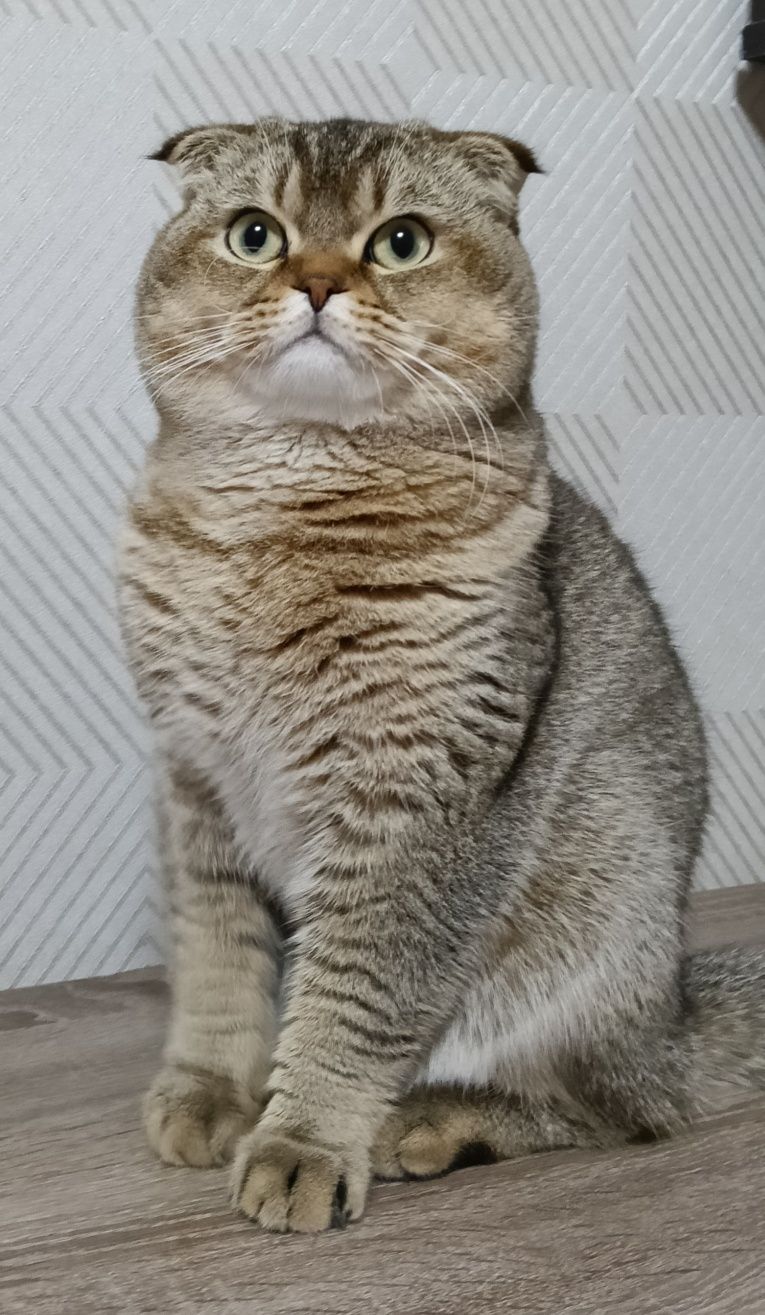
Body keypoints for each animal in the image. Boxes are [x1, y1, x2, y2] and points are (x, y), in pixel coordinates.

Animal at [119, 117, 764, 1234]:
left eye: (401, 242)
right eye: (254, 234)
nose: (319, 283)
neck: (280, 526)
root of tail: (673, 1012)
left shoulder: (419, 792)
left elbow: (353, 996)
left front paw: (301, 1145)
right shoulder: (197, 778)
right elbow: (217, 955)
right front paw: (209, 1091)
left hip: (601, 889)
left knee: (626, 1111)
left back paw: (436, 1122)